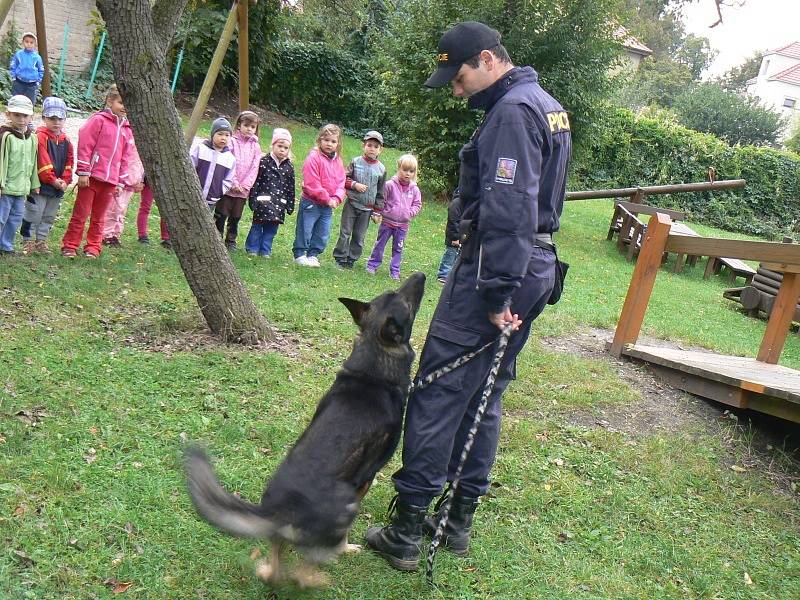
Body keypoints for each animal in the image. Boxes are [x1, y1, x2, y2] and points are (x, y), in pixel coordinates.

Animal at [185, 274, 428, 584]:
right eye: (404, 300)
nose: (421, 275)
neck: (374, 357)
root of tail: (278, 509)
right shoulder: (364, 481)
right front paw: (346, 548)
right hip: (346, 505)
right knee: (303, 570)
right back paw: (316, 577)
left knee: (275, 568)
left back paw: (270, 571)